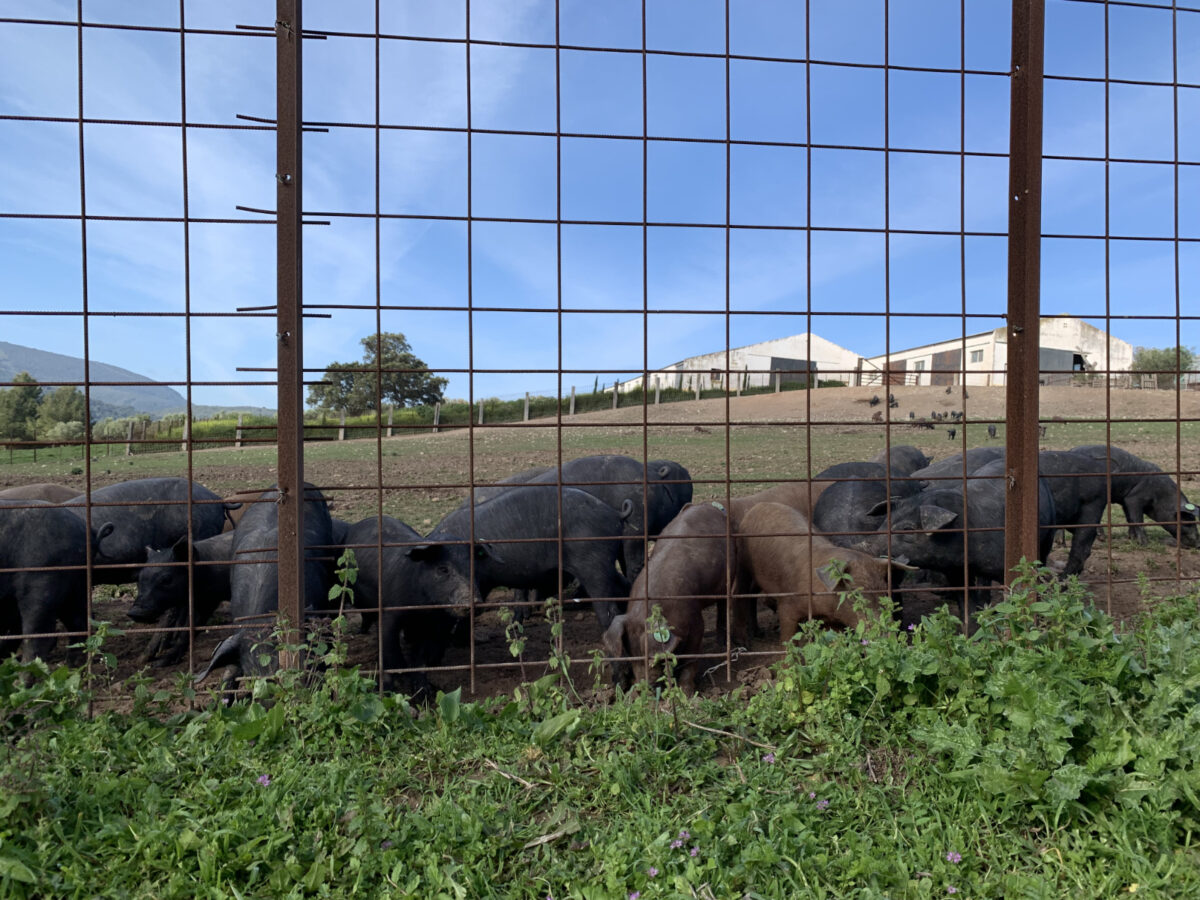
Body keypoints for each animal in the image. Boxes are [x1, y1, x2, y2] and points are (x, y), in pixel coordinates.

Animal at [600, 504, 739, 696]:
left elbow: (691, 657)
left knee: (723, 605)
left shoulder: (695, 620)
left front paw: (687, 693)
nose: (647, 688)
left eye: (655, 660)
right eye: (632, 655)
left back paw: (721, 642)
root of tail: (708, 506)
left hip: (729, 574)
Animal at [734, 504, 912, 643]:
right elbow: (788, 640)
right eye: (855, 596)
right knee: (746, 595)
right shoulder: (787, 605)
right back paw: (752, 636)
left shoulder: (834, 621)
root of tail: (756, 507)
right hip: (743, 563)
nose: (889, 637)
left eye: (884, 593)